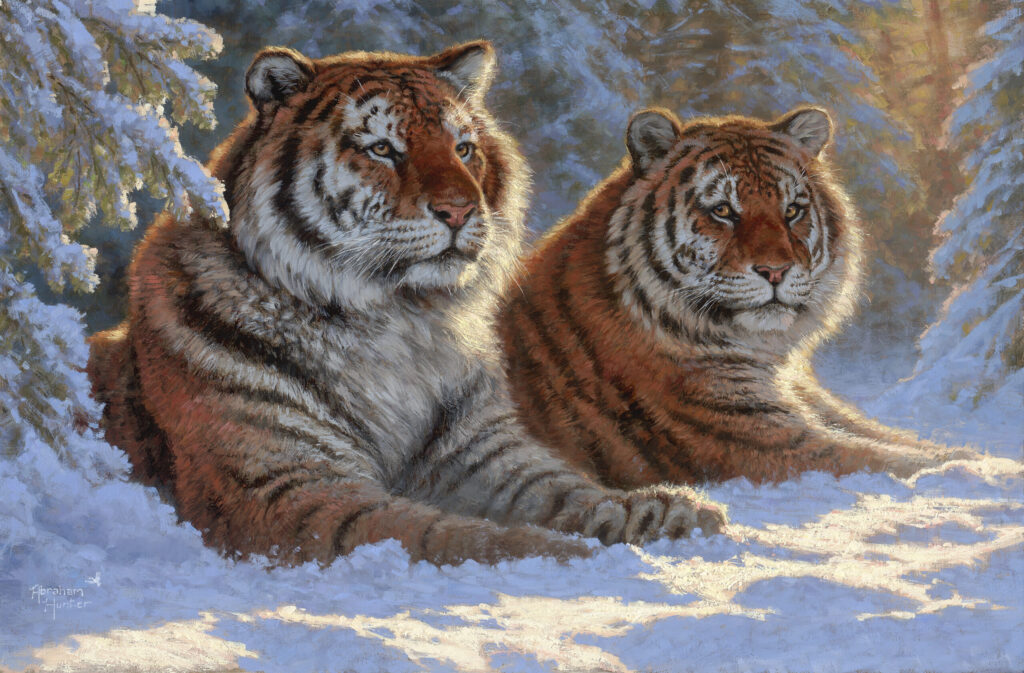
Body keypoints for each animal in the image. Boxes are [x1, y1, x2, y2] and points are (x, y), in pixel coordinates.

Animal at [86, 42, 725, 567]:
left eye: (463, 148)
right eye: (382, 149)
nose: (461, 211)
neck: (397, 321)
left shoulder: (482, 452)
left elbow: (567, 489)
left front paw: (668, 511)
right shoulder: (283, 485)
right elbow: (433, 532)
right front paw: (555, 554)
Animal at [498, 106, 984, 487]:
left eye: (793, 211)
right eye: (723, 211)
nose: (775, 271)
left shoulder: (811, 404)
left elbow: (896, 439)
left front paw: (970, 454)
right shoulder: (757, 438)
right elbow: (882, 459)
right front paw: (971, 470)